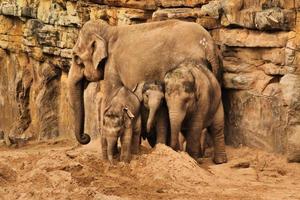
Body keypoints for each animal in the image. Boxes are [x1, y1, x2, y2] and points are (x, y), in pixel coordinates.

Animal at [68, 19, 223, 150]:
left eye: (76, 57)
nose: (85, 137)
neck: (108, 30)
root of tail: (209, 44)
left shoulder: (112, 65)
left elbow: (111, 96)